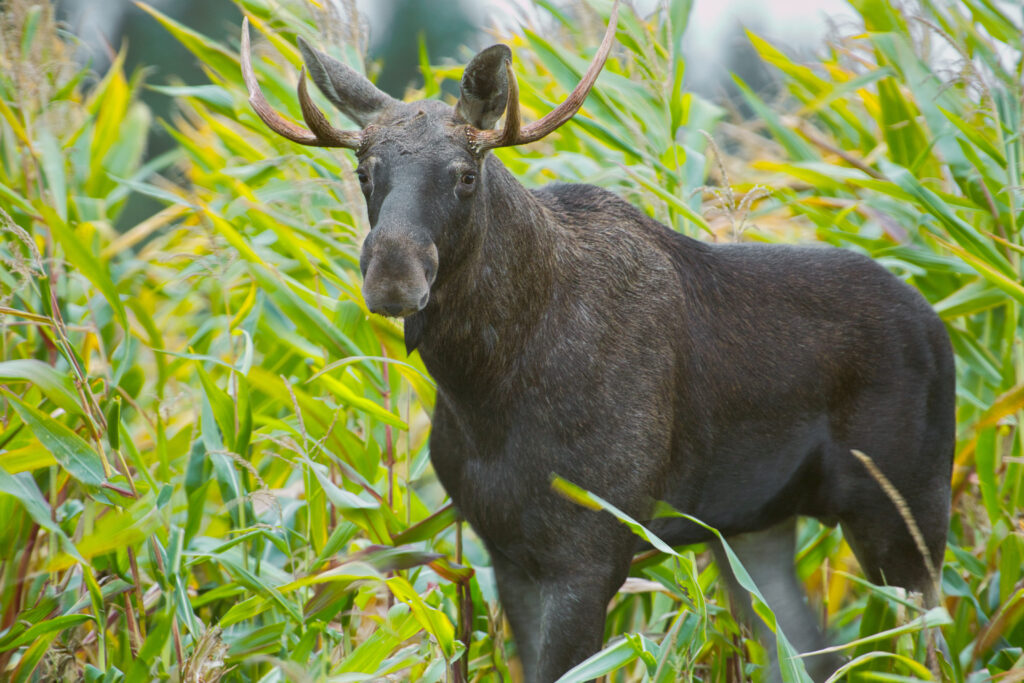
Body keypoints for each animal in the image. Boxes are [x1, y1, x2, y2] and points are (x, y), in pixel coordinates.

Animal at [241, 3, 958, 679]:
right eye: (365, 171)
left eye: (465, 173)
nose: (393, 272)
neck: (488, 387)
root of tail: (939, 326)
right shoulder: (505, 549)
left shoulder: (592, 546)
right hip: (754, 527)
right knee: (813, 652)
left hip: (906, 510)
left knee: (926, 644)